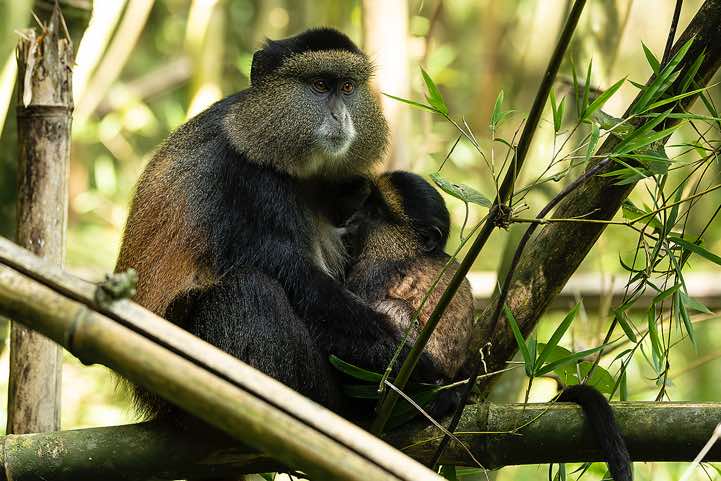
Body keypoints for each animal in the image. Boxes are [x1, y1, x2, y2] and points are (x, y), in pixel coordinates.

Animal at [114, 28, 443, 419]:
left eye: (348, 87)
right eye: (320, 85)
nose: (341, 116)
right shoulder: (246, 181)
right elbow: (301, 283)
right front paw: (415, 369)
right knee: (248, 291)